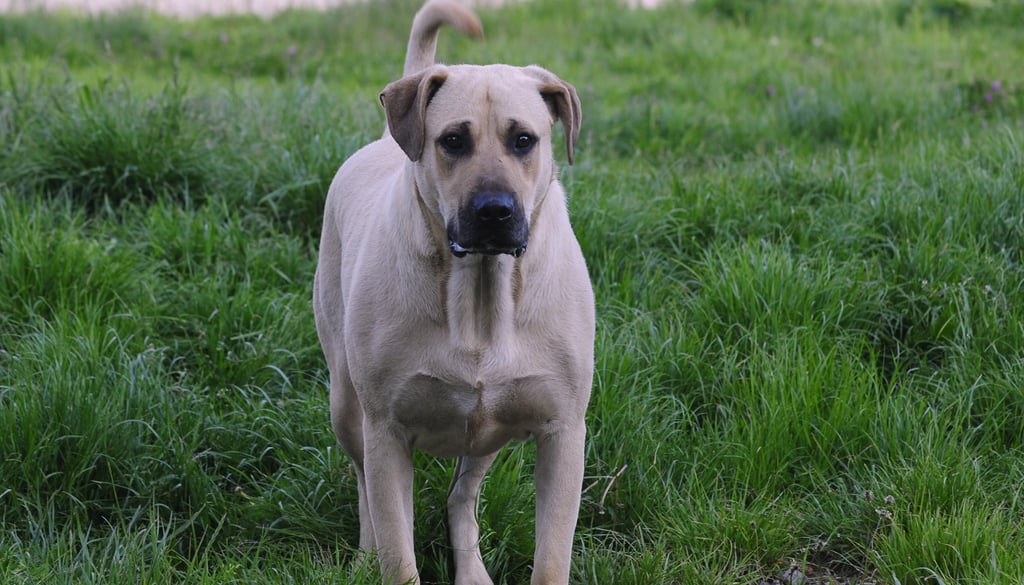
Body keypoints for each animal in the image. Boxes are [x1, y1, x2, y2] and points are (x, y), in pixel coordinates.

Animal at [311, 2, 598, 581]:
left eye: (524, 139)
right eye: (453, 141)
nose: (494, 210)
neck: (481, 294)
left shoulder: (562, 432)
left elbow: (550, 556)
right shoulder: (386, 431)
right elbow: (397, 551)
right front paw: (384, 556)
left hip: (489, 429)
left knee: (461, 498)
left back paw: (471, 568)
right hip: (346, 402)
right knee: (365, 486)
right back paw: (365, 553)